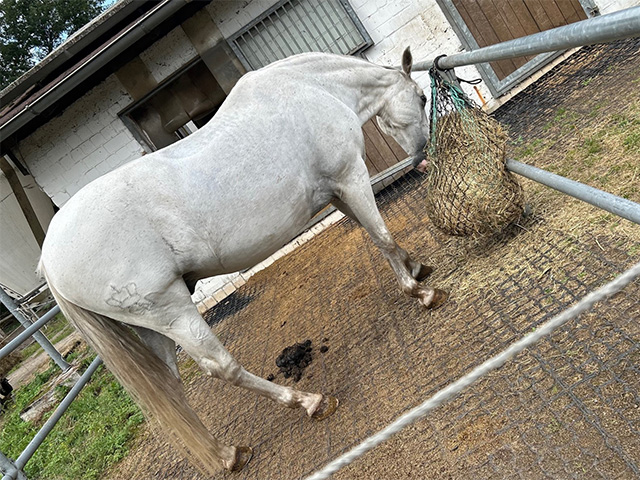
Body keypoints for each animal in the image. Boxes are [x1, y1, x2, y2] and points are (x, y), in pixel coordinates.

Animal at [39, 48, 447, 474]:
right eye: (421, 98)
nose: (422, 153)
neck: (313, 88)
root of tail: (49, 259)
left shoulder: (335, 191)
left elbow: (374, 235)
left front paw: (415, 267)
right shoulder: (350, 177)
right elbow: (381, 235)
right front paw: (420, 291)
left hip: (153, 329)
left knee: (174, 389)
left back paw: (227, 454)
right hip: (173, 312)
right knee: (221, 366)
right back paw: (310, 402)